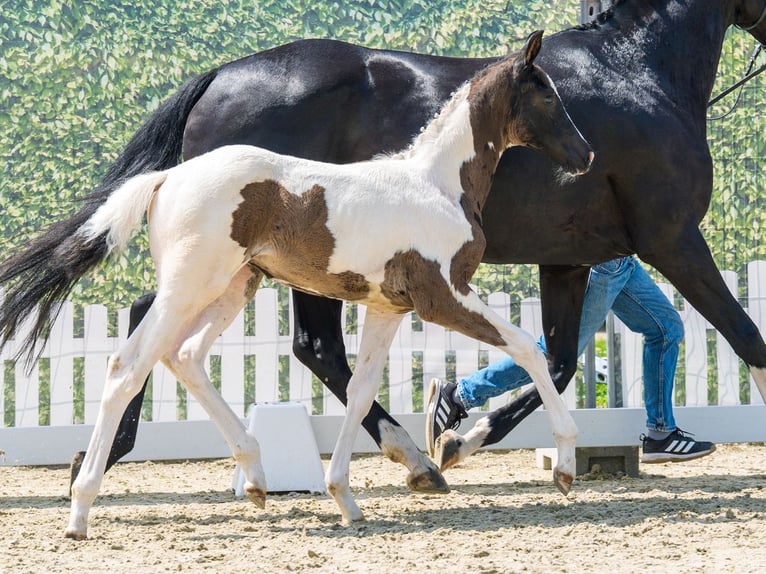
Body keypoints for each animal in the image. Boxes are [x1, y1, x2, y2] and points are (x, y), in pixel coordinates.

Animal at [0, 31, 592, 538]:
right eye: (545, 94)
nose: (586, 154)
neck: (435, 184)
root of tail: (167, 177)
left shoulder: (388, 307)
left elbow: (360, 391)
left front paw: (347, 497)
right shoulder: (443, 295)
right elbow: (529, 349)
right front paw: (564, 466)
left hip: (234, 286)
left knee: (184, 355)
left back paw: (257, 477)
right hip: (193, 284)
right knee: (129, 366)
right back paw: (81, 509)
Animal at [9, 0, 766, 487]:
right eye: (547, 98)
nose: (581, 156)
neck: (638, 71)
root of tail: (218, 76)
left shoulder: (567, 260)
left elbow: (555, 360)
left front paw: (460, 434)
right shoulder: (674, 240)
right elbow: (745, 337)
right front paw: (458, 436)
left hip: (266, 268)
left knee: (280, 344)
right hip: (252, 265)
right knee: (257, 338)